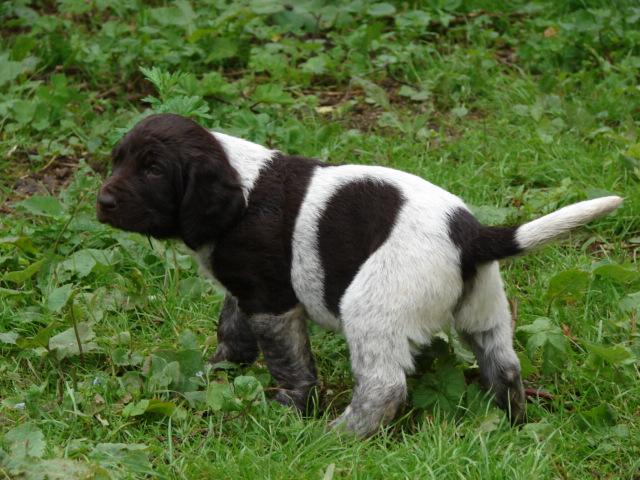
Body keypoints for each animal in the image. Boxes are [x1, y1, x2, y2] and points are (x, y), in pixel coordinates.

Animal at [97, 113, 622, 437]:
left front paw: (289, 409)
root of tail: (472, 235)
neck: (241, 189)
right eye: (117, 159)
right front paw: (216, 372)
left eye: (153, 170)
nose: (102, 201)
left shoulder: (272, 301)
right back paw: (514, 421)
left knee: (384, 386)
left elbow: (289, 364)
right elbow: (232, 330)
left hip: (372, 306)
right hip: (484, 309)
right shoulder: (247, 291)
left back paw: (340, 435)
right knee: (505, 367)